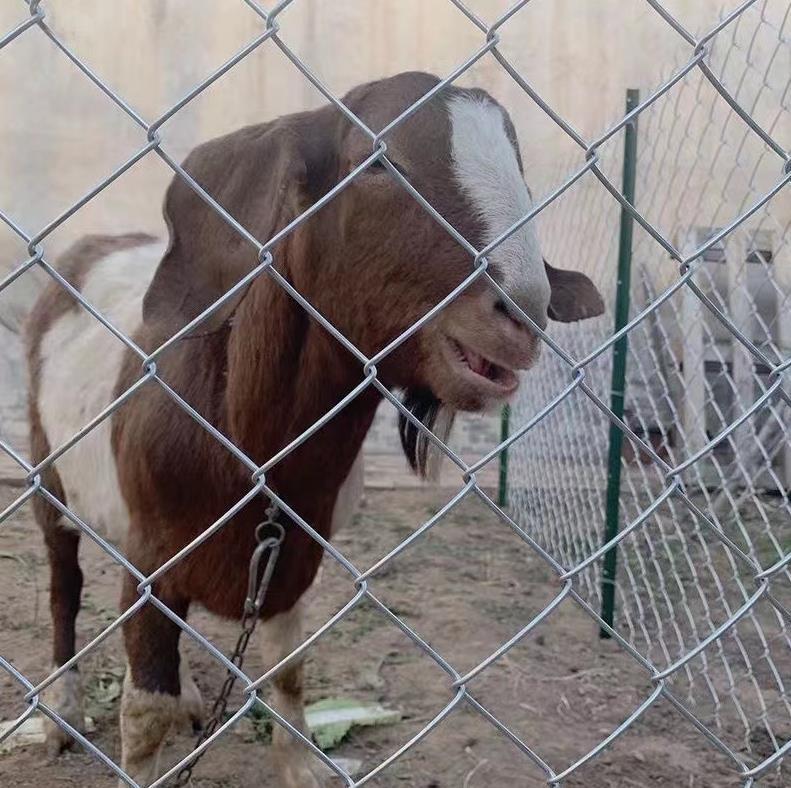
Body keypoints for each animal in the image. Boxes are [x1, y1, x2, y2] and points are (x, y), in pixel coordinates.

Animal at [26, 71, 608, 784]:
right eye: (379, 163)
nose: (522, 314)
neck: (246, 447)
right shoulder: (150, 556)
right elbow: (144, 712)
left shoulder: (291, 557)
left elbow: (290, 670)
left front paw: (302, 764)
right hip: (48, 471)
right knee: (64, 584)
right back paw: (60, 715)